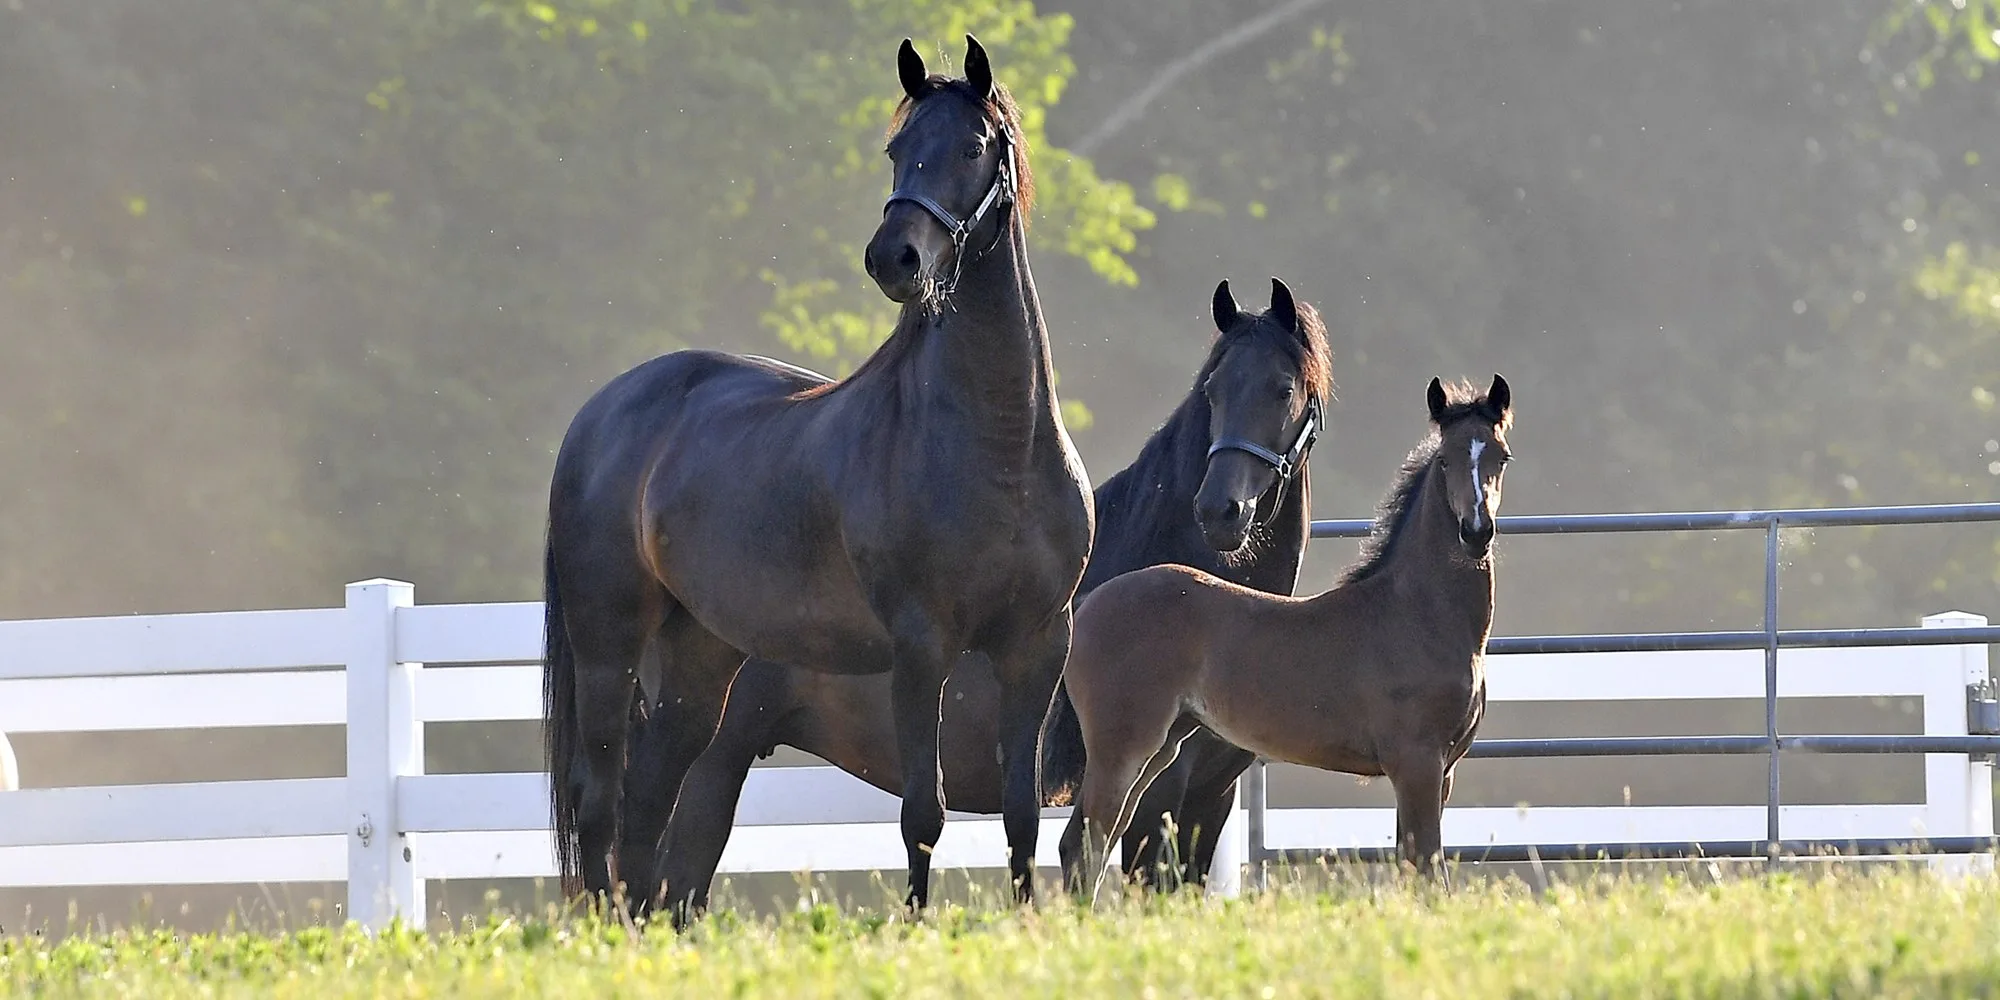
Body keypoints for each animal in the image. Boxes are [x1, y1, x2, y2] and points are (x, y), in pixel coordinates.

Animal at [542, 35, 1092, 922]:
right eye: (897, 150)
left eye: (973, 148)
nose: (894, 258)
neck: (1000, 449)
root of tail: (600, 415)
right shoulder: (922, 646)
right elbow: (924, 812)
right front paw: (917, 925)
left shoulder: (1039, 642)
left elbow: (1019, 815)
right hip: (607, 642)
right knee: (599, 799)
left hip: (701, 659)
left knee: (648, 800)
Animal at [620, 277, 1333, 918]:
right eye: (1213, 391)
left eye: (1283, 389)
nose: (1220, 510)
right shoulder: (1155, 799)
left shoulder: (1208, 800)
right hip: (715, 763)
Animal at [1057, 374, 1513, 902]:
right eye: (1445, 460)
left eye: (1501, 456)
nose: (1475, 532)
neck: (1418, 613)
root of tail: (1088, 604)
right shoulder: (1417, 763)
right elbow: (1428, 871)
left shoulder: (1442, 771)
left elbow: (1412, 867)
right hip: (1123, 746)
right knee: (1086, 841)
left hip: (1160, 746)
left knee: (1091, 843)